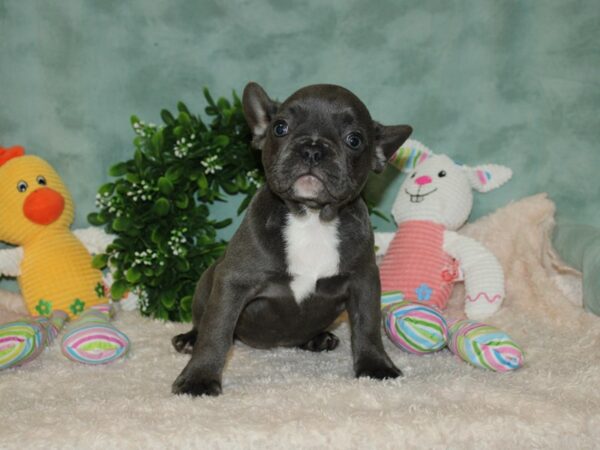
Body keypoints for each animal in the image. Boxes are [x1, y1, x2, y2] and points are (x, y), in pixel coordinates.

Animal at [171, 82, 410, 396]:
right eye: (280, 127)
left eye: (355, 140)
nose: (312, 149)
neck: (310, 217)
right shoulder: (233, 281)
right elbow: (217, 331)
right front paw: (198, 378)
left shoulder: (363, 280)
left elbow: (367, 325)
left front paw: (376, 366)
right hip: (207, 280)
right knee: (203, 321)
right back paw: (189, 339)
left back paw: (318, 338)